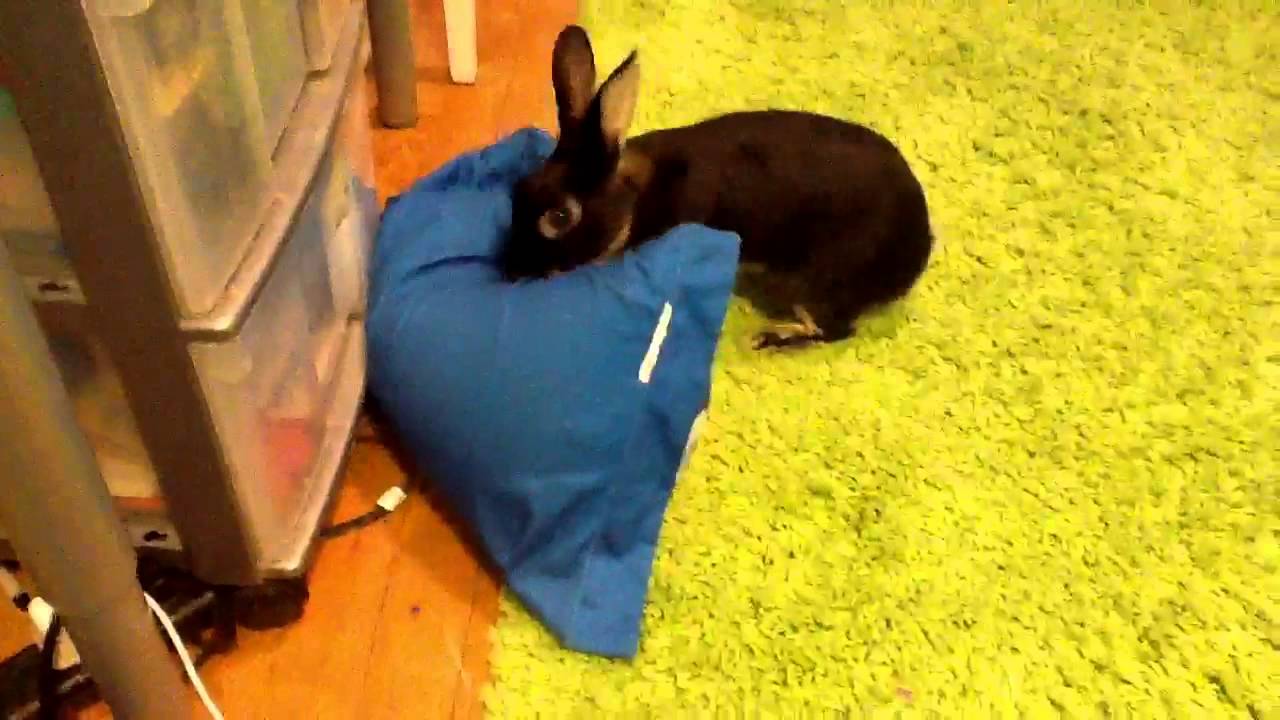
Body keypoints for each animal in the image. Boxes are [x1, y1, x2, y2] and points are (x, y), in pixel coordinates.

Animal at [499, 25, 934, 349]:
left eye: (559, 217)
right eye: (519, 189)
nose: (510, 271)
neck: (635, 201)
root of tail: (918, 247)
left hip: (812, 282)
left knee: (834, 329)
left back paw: (767, 339)